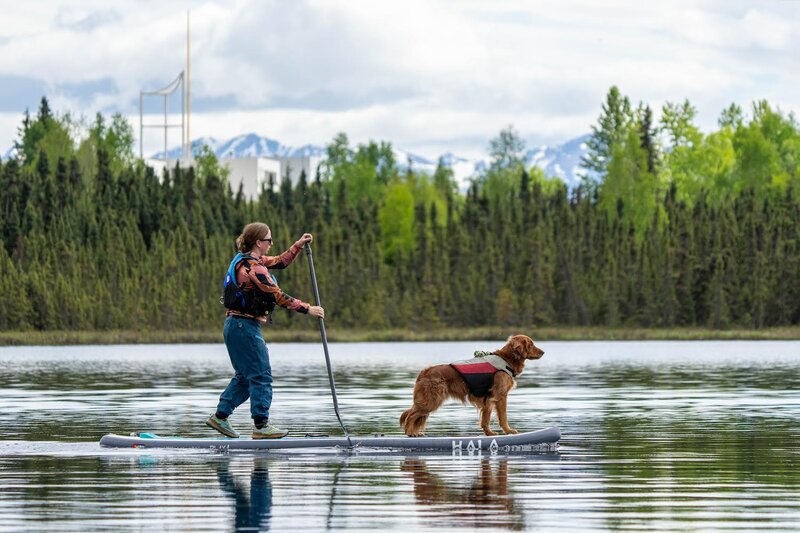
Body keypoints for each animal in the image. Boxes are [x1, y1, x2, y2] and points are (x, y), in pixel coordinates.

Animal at [398, 334, 544, 434]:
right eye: (531, 344)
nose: (543, 352)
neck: (506, 359)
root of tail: (424, 371)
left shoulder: (490, 398)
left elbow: (487, 419)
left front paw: (490, 433)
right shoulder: (499, 396)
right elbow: (501, 417)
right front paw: (506, 431)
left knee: (410, 413)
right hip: (432, 400)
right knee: (410, 415)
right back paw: (411, 433)